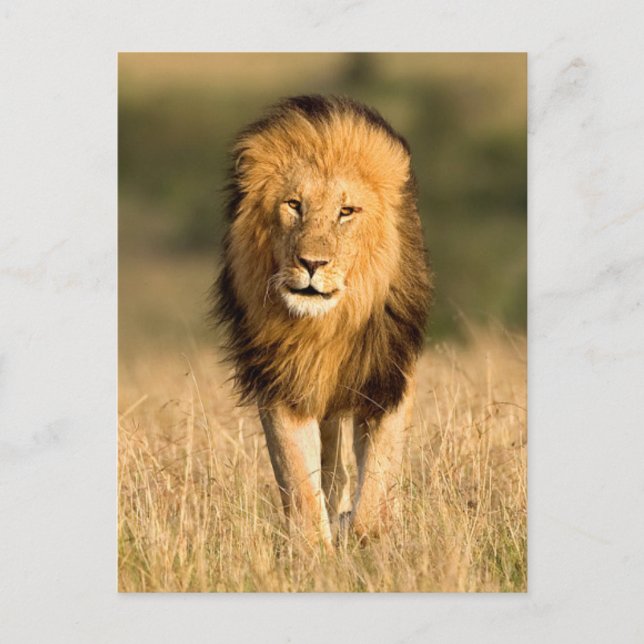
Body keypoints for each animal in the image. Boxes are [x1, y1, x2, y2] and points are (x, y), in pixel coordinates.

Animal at [213, 95, 432, 547]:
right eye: (294, 205)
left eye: (346, 212)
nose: (311, 263)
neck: (326, 327)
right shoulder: (283, 381)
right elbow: (299, 480)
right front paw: (315, 549)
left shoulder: (388, 378)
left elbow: (378, 485)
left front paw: (363, 532)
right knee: (332, 468)